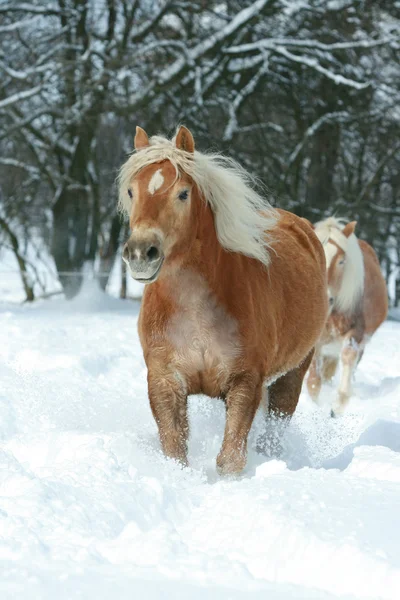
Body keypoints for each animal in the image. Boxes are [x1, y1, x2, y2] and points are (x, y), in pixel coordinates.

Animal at [116, 126, 328, 474]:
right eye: (132, 191)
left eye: (183, 194)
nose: (140, 253)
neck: (194, 311)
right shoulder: (165, 380)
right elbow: (175, 450)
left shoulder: (244, 381)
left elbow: (231, 458)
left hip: (292, 375)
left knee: (273, 430)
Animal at [306, 216, 388, 418]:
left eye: (342, 261)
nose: (325, 298)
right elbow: (313, 380)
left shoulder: (355, 333)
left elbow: (348, 357)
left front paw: (338, 406)